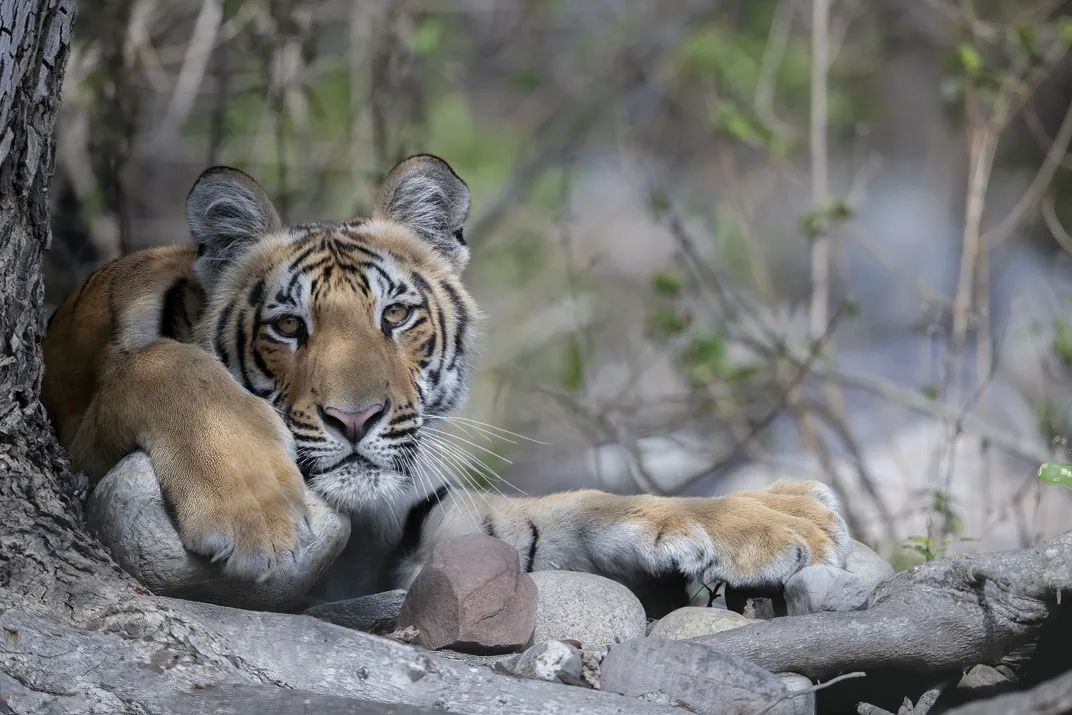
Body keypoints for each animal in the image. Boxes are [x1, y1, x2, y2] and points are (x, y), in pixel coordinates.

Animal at [41, 155, 849, 604]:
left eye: (395, 315)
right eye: (289, 327)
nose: (355, 420)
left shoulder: (423, 529)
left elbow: (579, 505)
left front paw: (773, 515)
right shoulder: (78, 427)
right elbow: (163, 362)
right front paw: (259, 518)